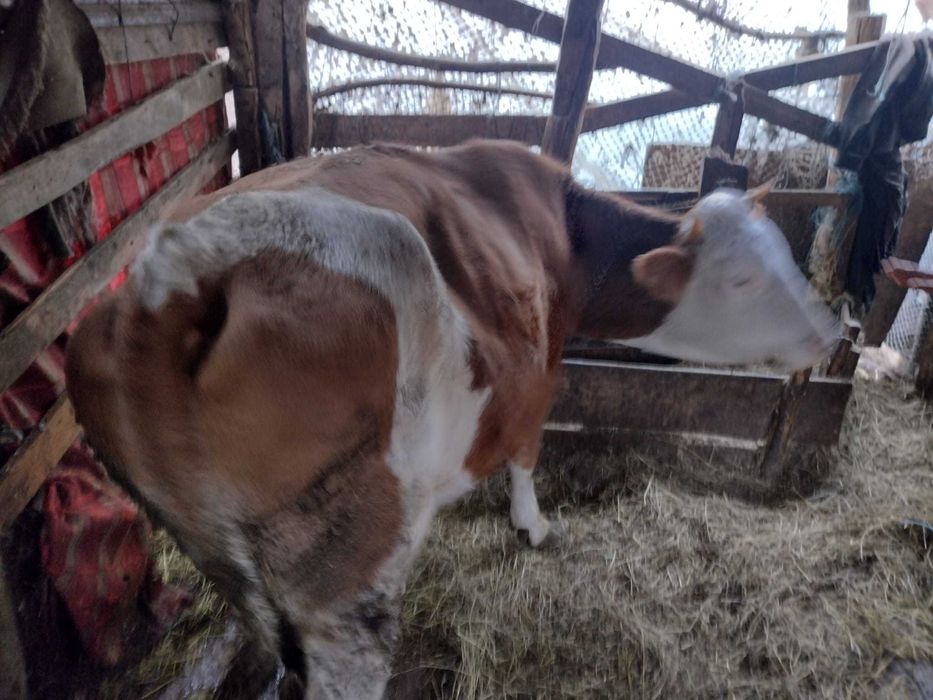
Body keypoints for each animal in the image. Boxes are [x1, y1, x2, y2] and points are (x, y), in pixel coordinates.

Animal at [65, 139, 838, 699]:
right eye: (742, 278)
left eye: (786, 256)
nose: (829, 335)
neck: (563, 237)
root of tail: (170, 279)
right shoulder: (540, 369)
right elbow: (526, 455)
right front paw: (532, 526)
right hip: (347, 562)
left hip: (220, 555)